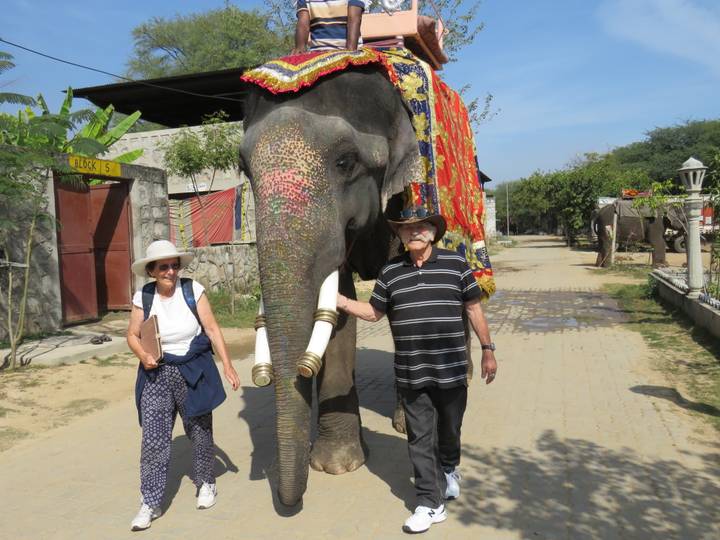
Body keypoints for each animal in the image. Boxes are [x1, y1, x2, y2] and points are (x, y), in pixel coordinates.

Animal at [238, 67, 425, 507]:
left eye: (345, 161)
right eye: (244, 168)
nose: (288, 502)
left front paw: (335, 463)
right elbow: (339, 308)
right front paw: (337, 463)